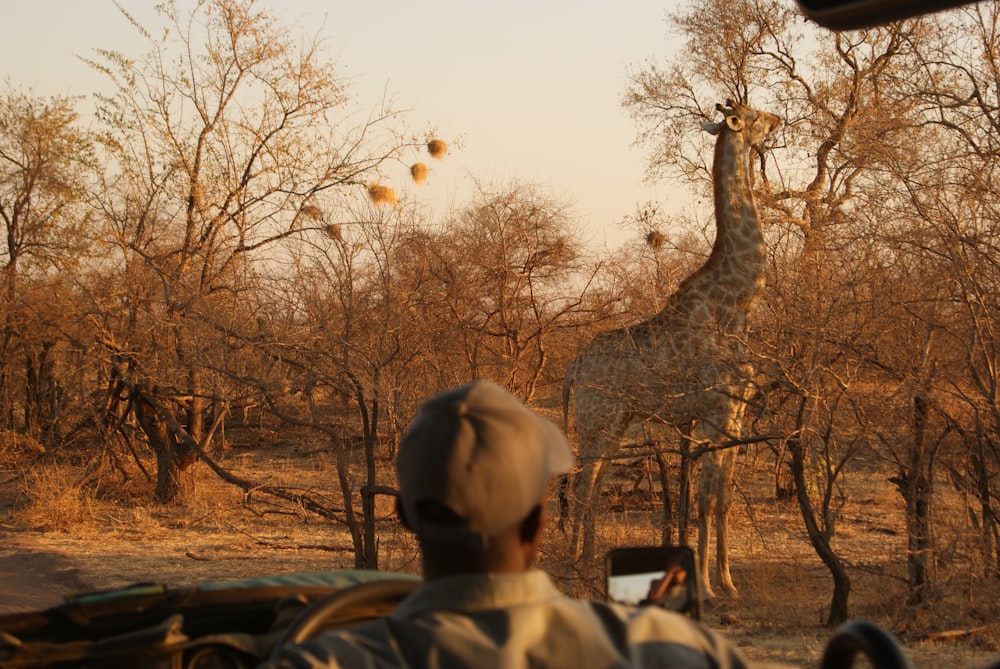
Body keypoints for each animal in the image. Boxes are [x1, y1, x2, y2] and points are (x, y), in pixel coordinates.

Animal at [564, 100, 780, 600]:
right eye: (754, 115)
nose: (779, 119)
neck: (736, 305)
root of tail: (574, 366)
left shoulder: (734, 413)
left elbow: (721, 499)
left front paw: (727, 580)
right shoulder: (714, 412)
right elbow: (703, 500)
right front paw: (707, 586)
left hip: (617, 422)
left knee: (595, 485)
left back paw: (591, 561)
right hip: (597, 418)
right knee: (583, 486)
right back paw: (577, 566)